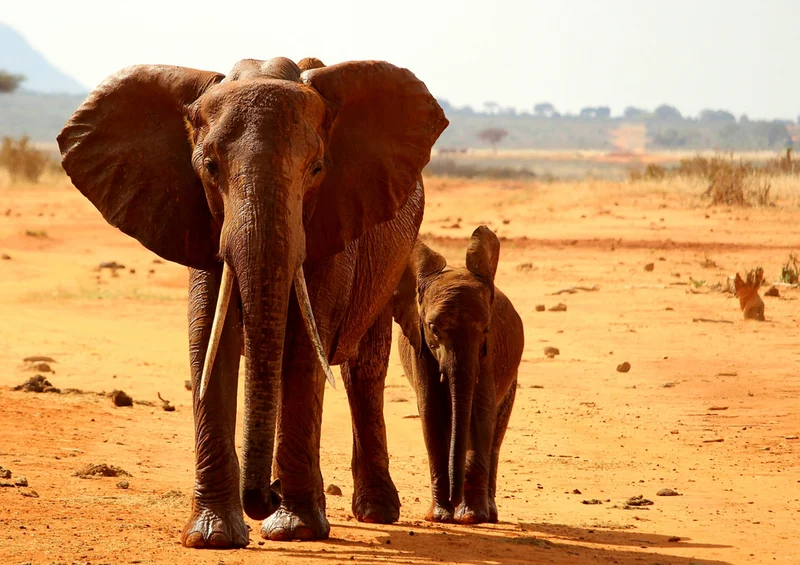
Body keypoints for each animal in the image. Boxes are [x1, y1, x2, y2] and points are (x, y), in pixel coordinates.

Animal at [57, 56, 448, 547]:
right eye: (208, 167)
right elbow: (208, 340)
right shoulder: (198, 222)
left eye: (316, 169)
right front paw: (211, 536)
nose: (264, 497)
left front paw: (295, 529)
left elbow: (302, 347)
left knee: (364, 371)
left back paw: (374, 511)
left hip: (389, 257)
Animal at [392, 226, 524, 524]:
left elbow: (481, 412)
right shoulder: (419, 346)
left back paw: (488, 513)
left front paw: (471, 517)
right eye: (432, 328)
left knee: (496, 433)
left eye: (486, 328)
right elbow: (430, 413)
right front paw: (440, 516)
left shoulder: (488, 353)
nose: (454, 499)